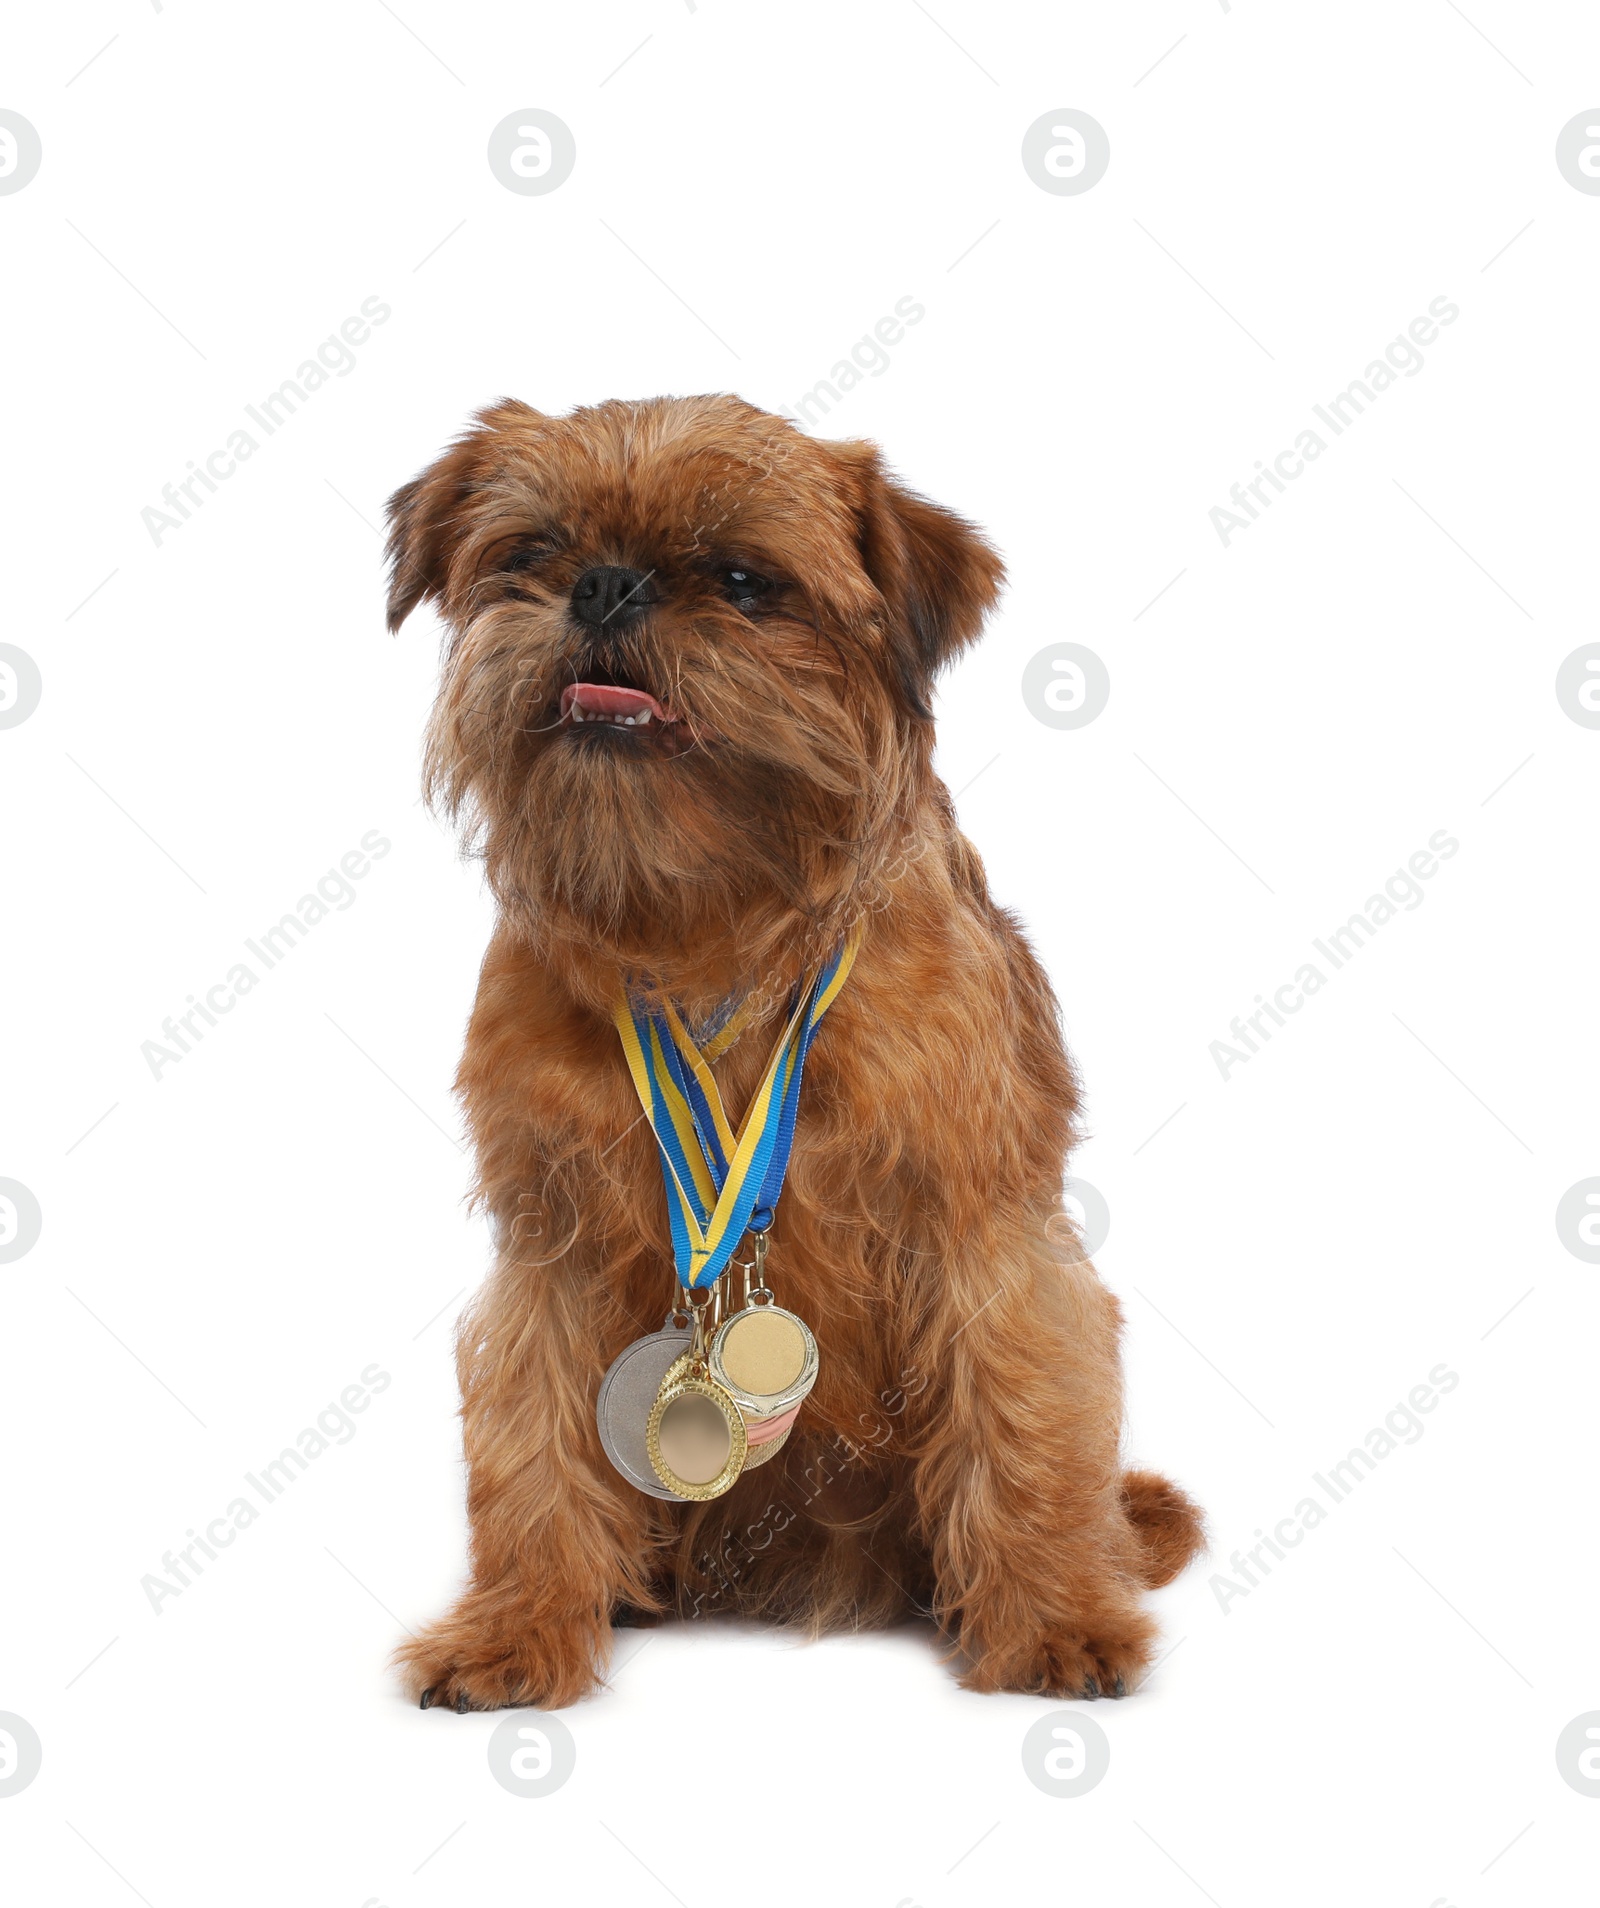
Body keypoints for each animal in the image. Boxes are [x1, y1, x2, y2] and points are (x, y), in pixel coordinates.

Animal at [385, 394, 1205, 1709]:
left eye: (739, 580)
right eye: (532, 554)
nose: (606, 585)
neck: (705, 934)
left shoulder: (987, 1237)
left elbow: (1020, 1423)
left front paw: (1053, 1622)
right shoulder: (550, 1256)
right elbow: (530, 1453)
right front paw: (514, 1631)